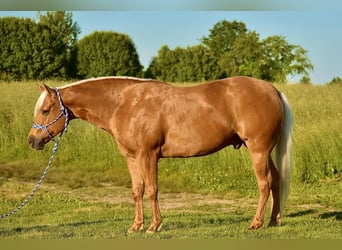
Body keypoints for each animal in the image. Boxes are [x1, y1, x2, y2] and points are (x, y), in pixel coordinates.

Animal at [28, 76, 292, 232]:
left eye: (45, 110)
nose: (33, 141)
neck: (124, 104)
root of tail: (272, 90)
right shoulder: (132, 158)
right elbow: (137, 191)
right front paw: (136, 226)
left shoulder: (148, 156)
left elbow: (152, 190)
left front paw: (154, 226)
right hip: (263, 152)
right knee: (276, 180)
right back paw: (273, 220)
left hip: (258, 150)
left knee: (264, 184)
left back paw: (256, 223)